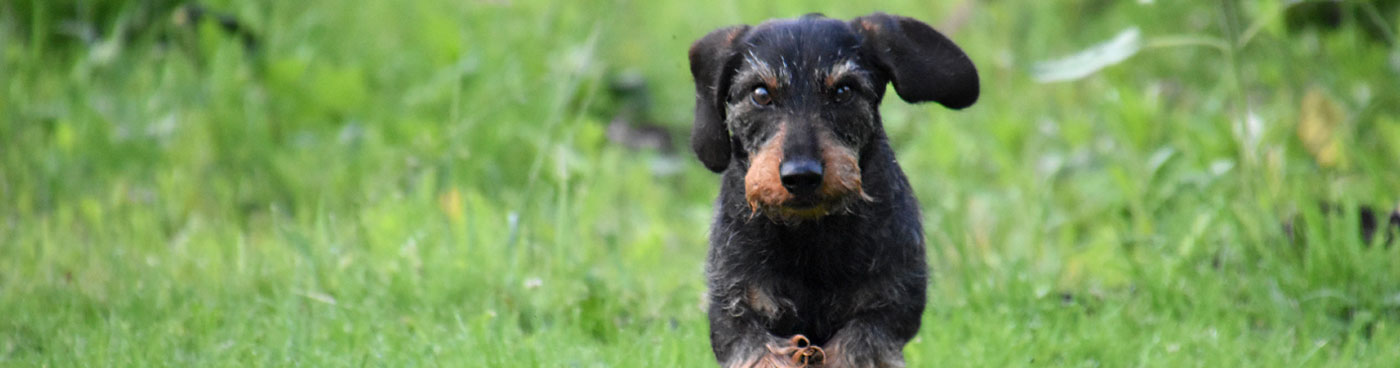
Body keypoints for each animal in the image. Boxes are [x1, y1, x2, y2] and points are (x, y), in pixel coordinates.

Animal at [686, 12, 974, 366]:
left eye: (843, 90)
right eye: (760, 93)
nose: (801, 176)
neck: (809, 237)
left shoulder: (889, 310)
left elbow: (855, 346)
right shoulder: (735, 314)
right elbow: (760, 350)